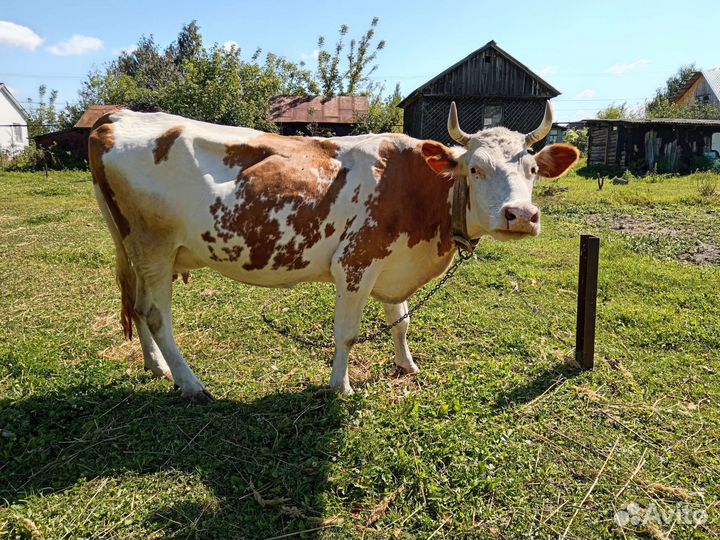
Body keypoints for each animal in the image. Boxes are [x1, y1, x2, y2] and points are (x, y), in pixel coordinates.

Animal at [89, 102, 579, 403]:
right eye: (475, 169)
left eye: (533, 170)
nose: (521, 215)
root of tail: (118, 116)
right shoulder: (356, 263)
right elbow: (346, 333)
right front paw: (340, 386)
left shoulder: (391, 262)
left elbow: (401, 321)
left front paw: (407, 365)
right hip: (153, 245)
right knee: (157, 316)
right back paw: (191, 384)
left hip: (141, 250)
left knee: (137, 306)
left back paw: (157, 368)